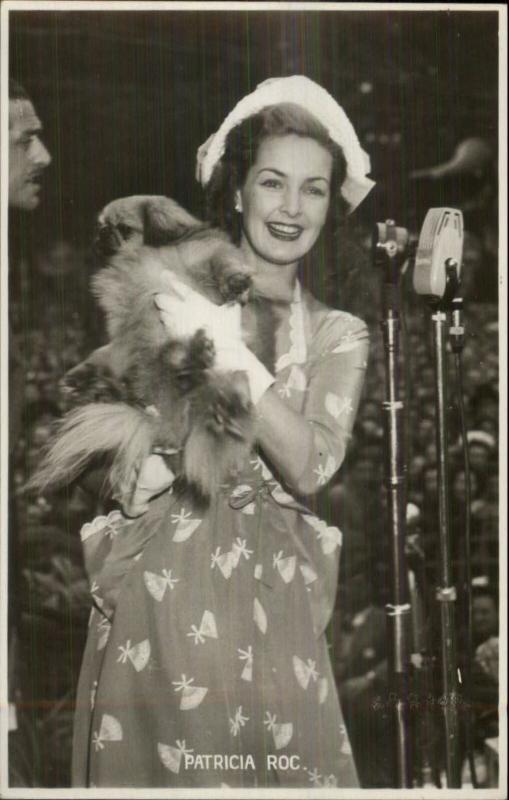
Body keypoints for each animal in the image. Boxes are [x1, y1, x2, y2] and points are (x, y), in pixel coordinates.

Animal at [29, 195, 276, 500]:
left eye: (123, 228)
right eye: (100, 226)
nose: (101, 234)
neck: (138, 259)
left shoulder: (206, 256)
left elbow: (223, 263)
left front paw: (236, 282)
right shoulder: (127, 326)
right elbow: (110, 350)